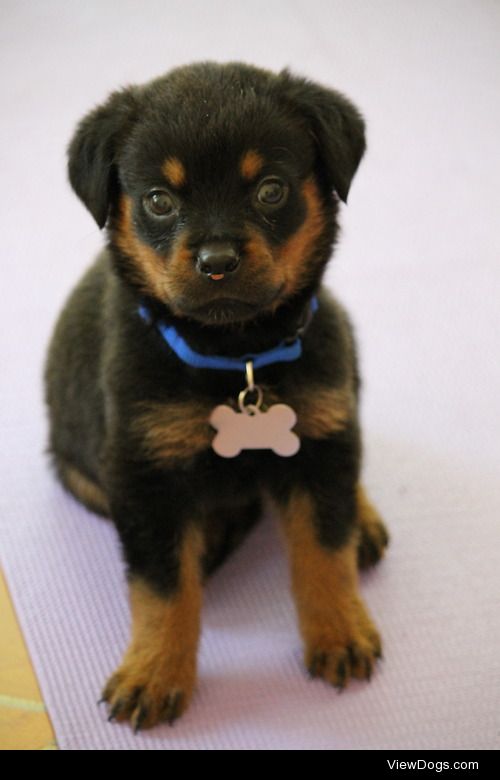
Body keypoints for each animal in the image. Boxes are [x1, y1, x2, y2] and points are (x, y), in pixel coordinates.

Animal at [45, 61, 388, 732]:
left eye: (271, 190)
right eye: (159, 200)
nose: (217, 260)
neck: (238, 358)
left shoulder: (319, 431)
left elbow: (324, 550)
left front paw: (340, 632)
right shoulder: (143, 472)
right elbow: (162, 588)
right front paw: (154, 673)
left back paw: (363, 521)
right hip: (79, 473)